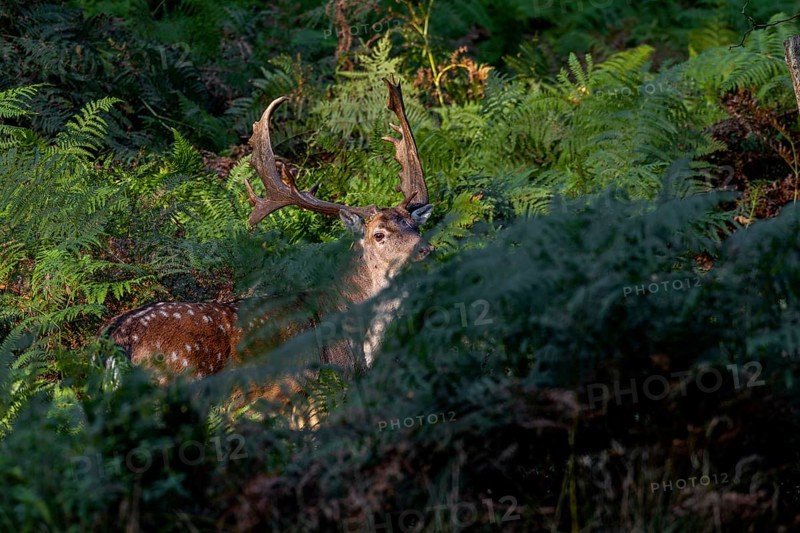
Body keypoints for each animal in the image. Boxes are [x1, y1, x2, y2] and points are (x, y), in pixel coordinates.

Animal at [101, 77, 433, 406]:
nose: (426, 249)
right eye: (379, 234)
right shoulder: (303, 387)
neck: (360, 347)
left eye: (417, 227)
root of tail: (113, 342)